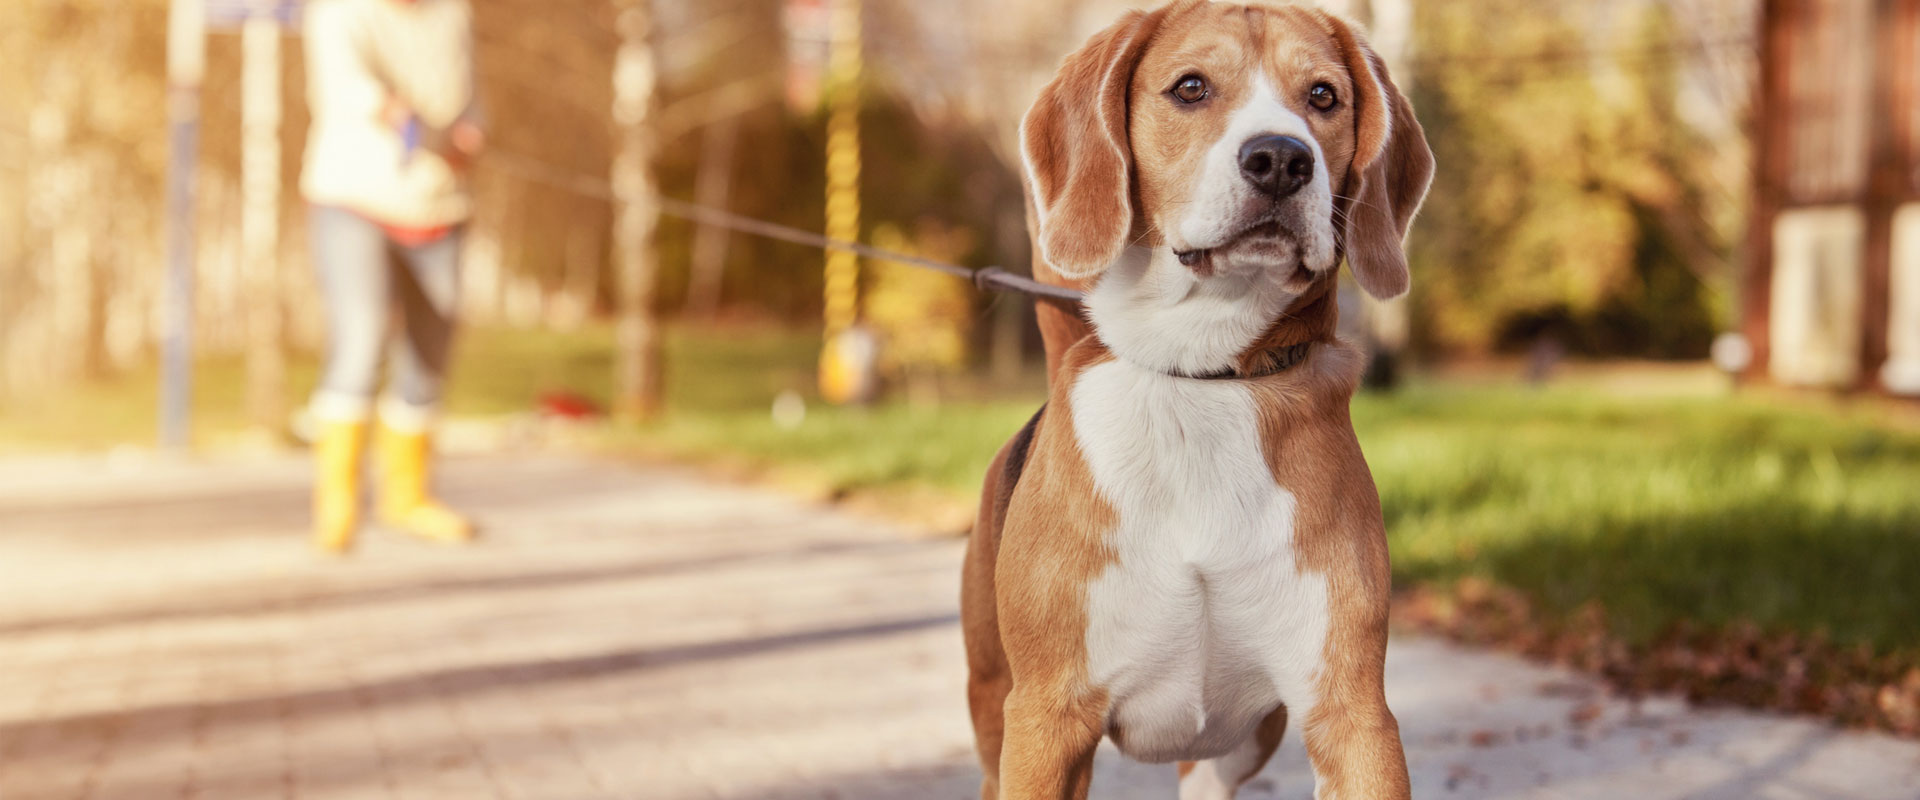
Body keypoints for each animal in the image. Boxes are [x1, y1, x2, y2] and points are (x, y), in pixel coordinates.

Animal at [967, 3, 1436, 794]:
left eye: (1324, 96)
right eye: (1190, 87)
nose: (1281, 158)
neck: (1201, 377)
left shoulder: (1352, 717)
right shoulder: (1046, 723)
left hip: (1241, 742)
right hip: (996, 709)